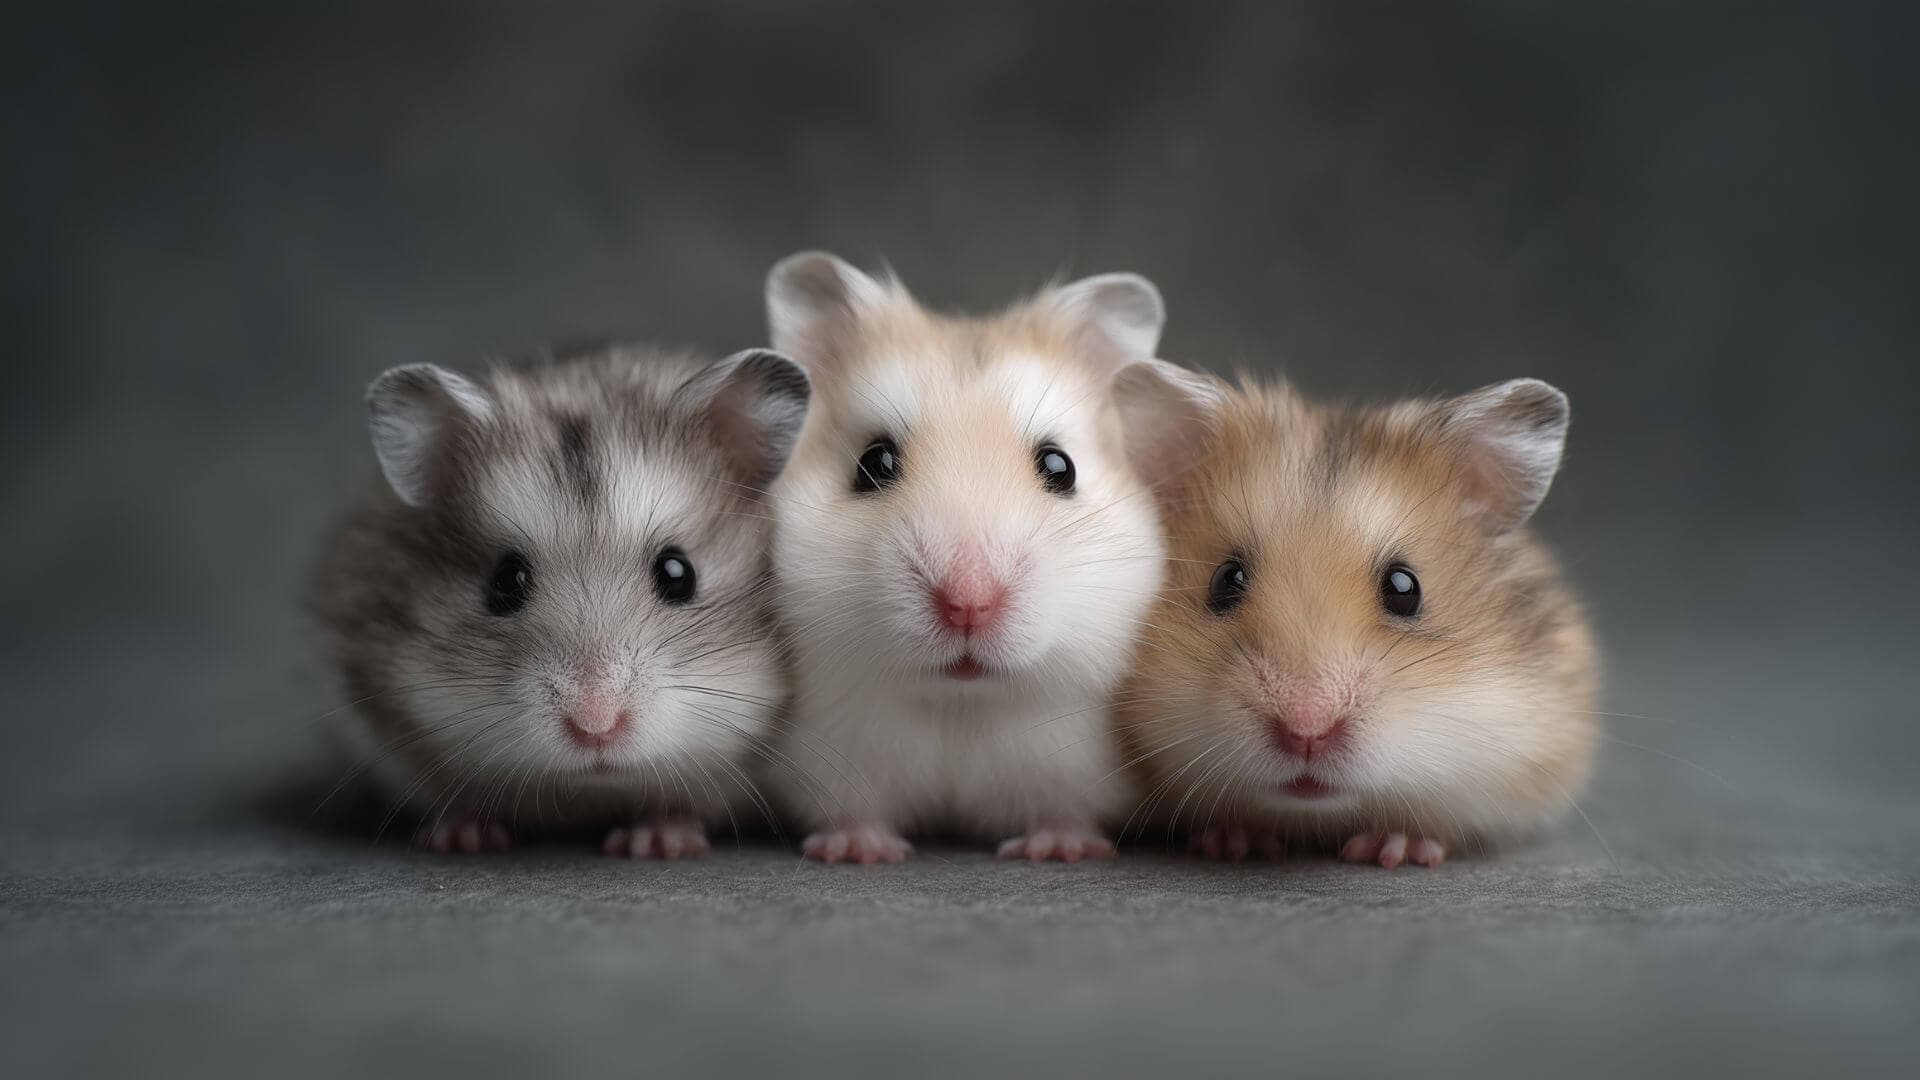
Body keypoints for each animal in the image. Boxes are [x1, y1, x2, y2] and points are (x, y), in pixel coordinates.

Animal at [308, 344, 810, 857]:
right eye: (505, 581)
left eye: (678, 574)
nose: (596, 727)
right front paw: (459, 838)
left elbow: (683, 801)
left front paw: (653, 842)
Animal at [760, 252, 1221, 863]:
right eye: (873, 463)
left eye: (1060, 467)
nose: (968, 605)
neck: (963, 703)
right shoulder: (832, 750)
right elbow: (849, 808)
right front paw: (860, 851)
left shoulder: (1071, 761)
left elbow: (1063, 808)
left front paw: (1059, 850)